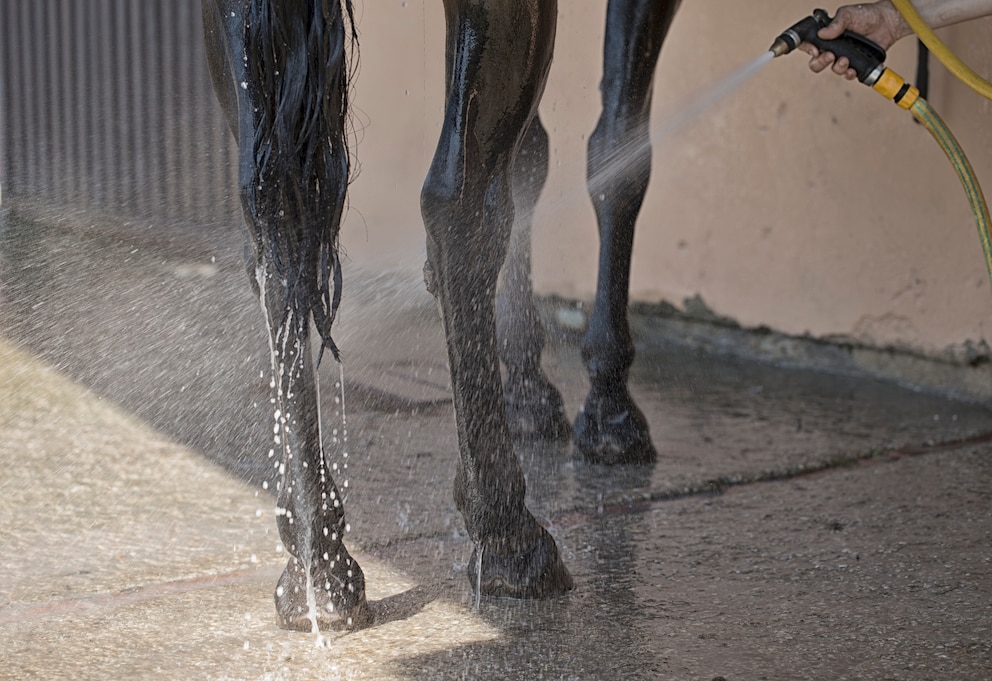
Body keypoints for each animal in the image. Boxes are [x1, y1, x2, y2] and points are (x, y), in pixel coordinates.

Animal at [202, 0, 678, 631]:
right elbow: (619, 150)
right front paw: (609, 407)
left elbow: (534, 161)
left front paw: (528, 390)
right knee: (462, 203)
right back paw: (508, 536)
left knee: (275, 217)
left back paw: (318, 563)